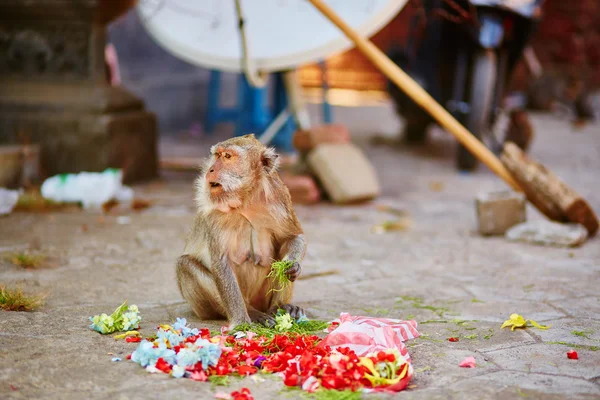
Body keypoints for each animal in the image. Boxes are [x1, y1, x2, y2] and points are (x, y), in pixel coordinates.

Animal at [173, 134, 304, 328]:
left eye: (227, 156)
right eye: (217, 155)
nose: (211, 169)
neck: (246, 199)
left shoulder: (280, 197)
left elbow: (293, 237)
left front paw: (292, 266)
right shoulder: (215, 212)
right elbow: (221, 263)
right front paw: (241, 322)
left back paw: (281, 308)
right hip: (203, 309)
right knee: (184, 265)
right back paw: (253, 312)